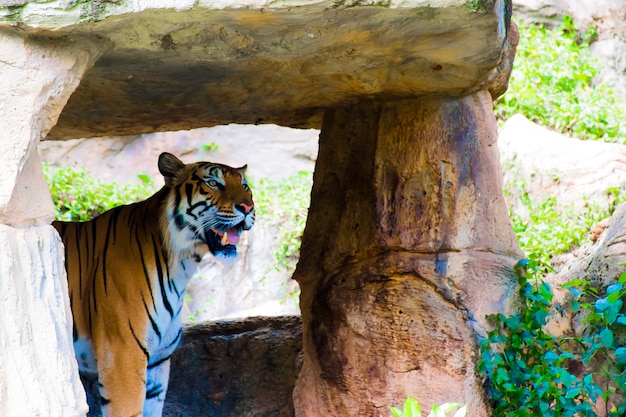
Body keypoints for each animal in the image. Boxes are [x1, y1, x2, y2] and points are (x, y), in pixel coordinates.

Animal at [53, 152, 254, 416]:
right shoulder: (122, 357)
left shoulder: (157, 363)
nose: (248, 207)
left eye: (245, 186)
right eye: (213, 183)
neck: (182, 265)